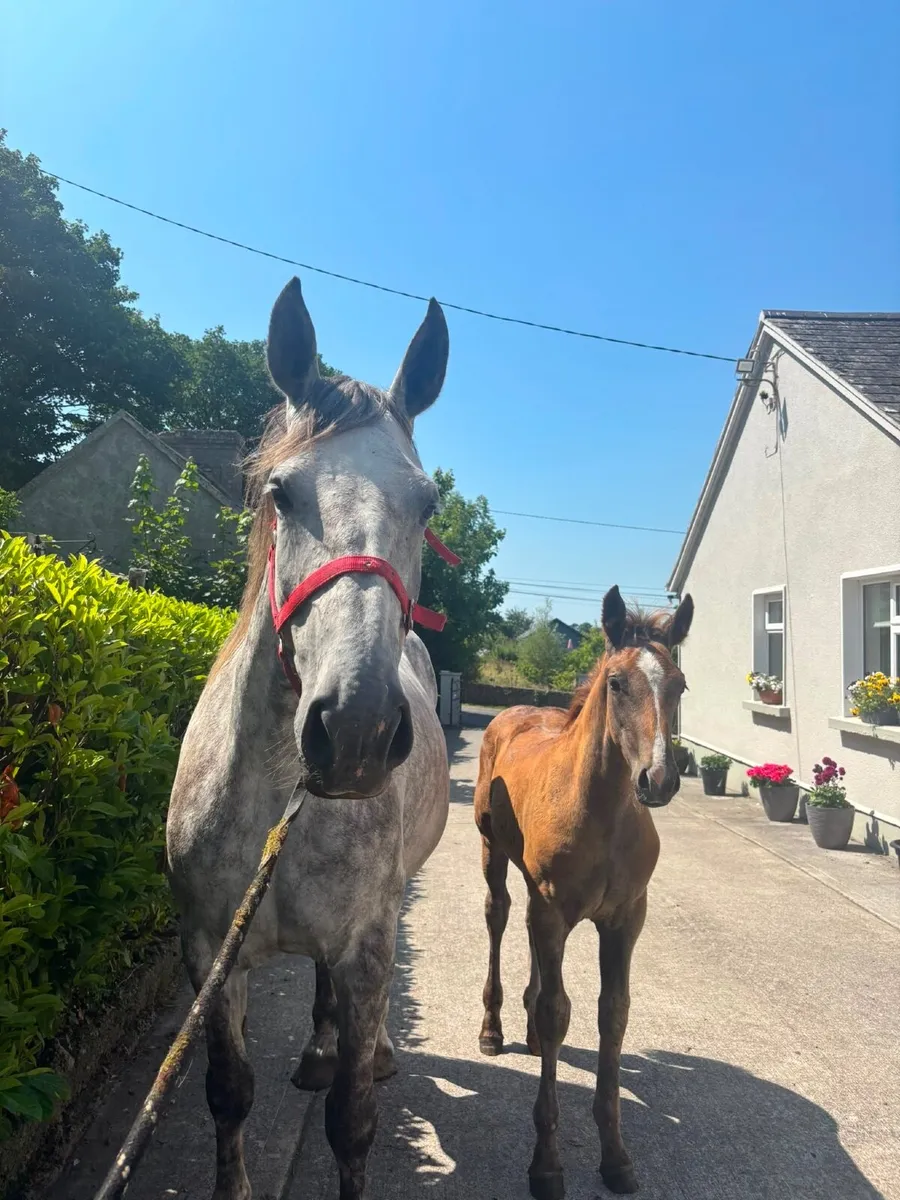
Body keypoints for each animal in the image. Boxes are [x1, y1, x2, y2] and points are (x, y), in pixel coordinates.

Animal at [166, 277, 453, 1200]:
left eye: (427, 503)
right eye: (281, 493)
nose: (355, 728)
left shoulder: (365, 949)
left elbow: (352, 1122)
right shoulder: (209, 954)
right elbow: (228, 1093)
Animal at [473, 585, 694, 1200]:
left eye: (679, 685)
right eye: (616, 682)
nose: (658, 780)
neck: (605, 815)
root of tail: (514, 713)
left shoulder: (625, 920)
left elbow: (611, 1014)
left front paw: (616, 1157)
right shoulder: (553, 911)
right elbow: (558, 1012)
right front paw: (546, 1164)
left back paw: (523, 1029)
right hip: (494, 855)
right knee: (499, 918)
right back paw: (494, 1029)